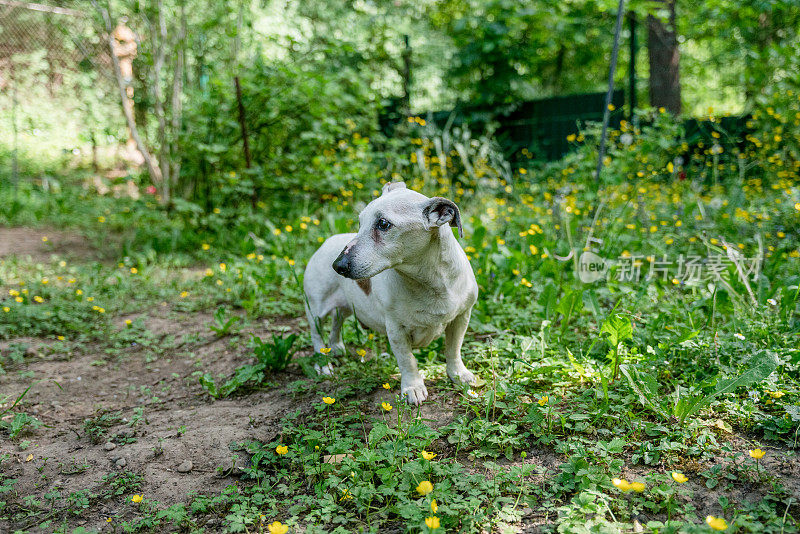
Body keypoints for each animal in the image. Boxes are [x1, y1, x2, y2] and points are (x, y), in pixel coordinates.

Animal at [304, 182, 478, 404]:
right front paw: (413, 387)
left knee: (337, 322)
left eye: (383, 224)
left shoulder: (461, 318)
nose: (337, 266)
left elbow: (453, 348)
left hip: (346, 307)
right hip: (316, 310)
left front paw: (458, 374)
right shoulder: (396, 330)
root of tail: (326, 242)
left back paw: (335, 348)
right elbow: (408, 360)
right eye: (360, 222)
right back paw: (324, 365)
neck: (430, 282)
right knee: (317, 336)